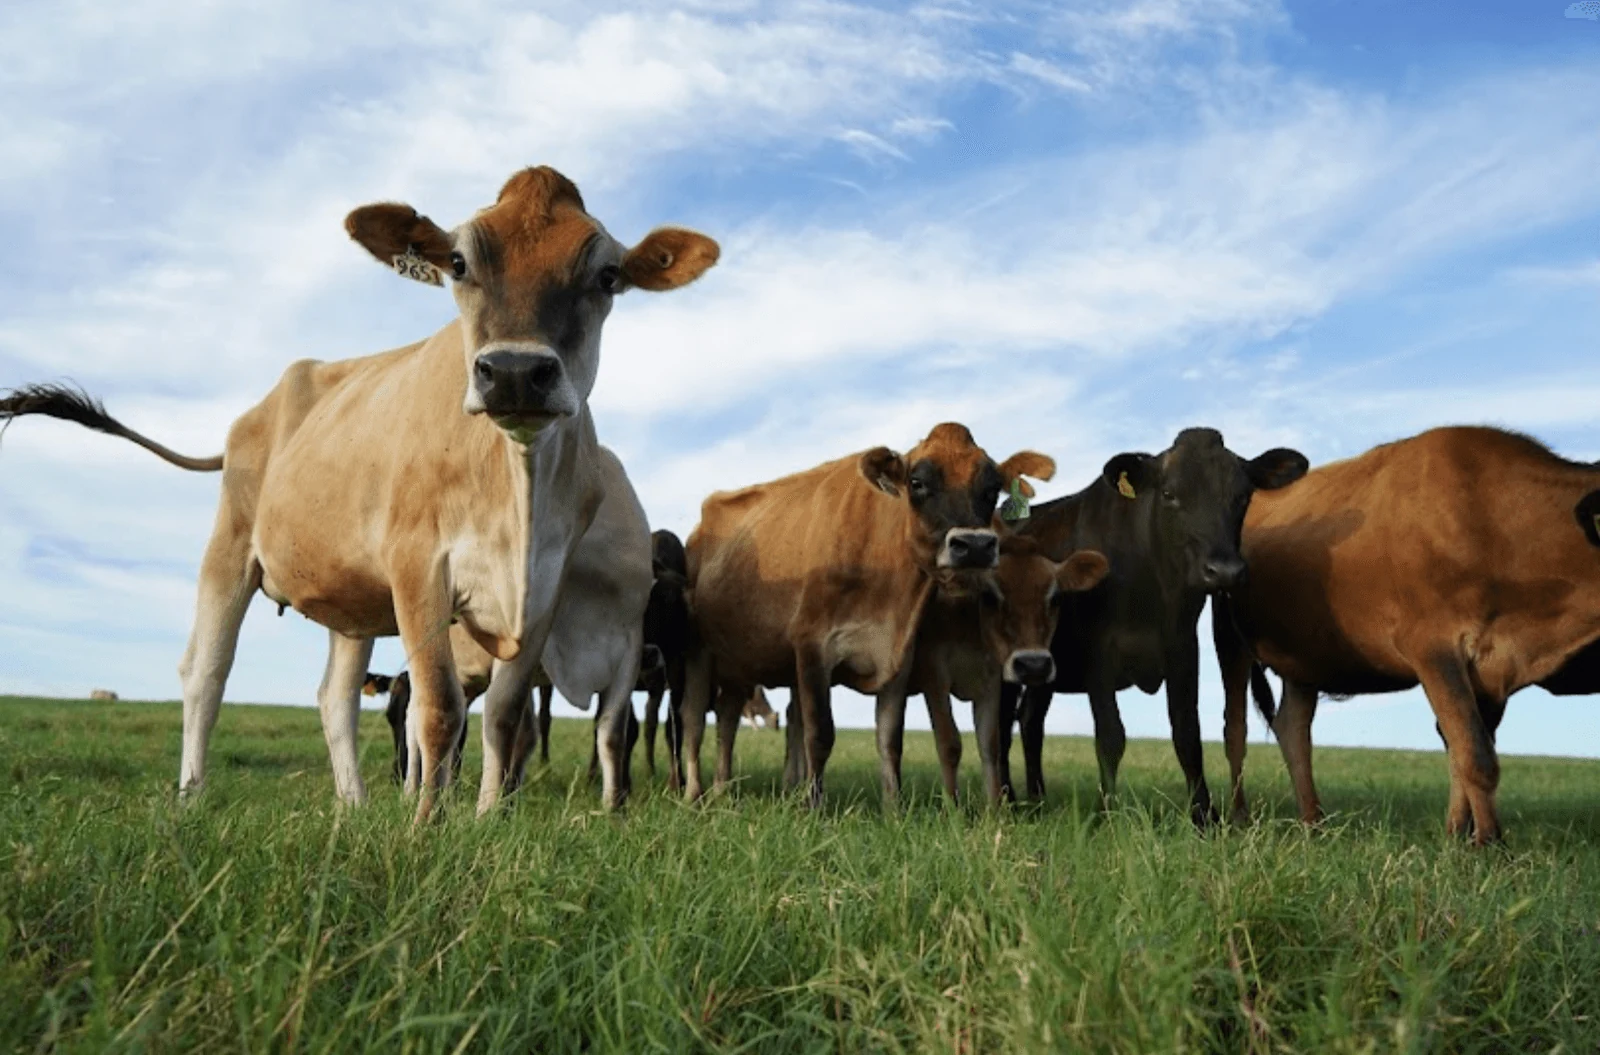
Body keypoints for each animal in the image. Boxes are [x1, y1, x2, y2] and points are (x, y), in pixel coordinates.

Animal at [0, 166, 718, 820]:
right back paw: (192, 796)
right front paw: (427, 826)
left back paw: (353, 804)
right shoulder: (417, 567)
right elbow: (439, 709)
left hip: (352, 599)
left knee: (335, 696)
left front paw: (489, 819)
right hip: (230, 545)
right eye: (459, 262)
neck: (518, 500)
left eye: (608, 275)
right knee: (205, 672)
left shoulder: (547, 585)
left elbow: (505, 715)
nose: (515, 372)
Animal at [682, 422, 1057, 808]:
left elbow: (890, 740)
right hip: (698, 651)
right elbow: (820, 734)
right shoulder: (812, 646)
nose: (976, 546)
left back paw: (722, 790)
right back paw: (694, 794)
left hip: (737, 661)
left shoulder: (898, 658)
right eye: (917, 482)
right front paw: (814, 808)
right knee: (693, 719)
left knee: (727, 716)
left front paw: (893, 809)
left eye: (993, 487)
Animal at [868, 536, 1110, 806]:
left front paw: (995, 809)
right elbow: (949, 743)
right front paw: (953, 807)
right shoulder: (935, 676)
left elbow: (990, 744)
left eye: (1055, 597)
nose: (1033, 664)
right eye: (991, 596)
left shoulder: (992, 680)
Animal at [1000, 428, 1308, 824]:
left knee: (1030, 719)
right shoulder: (1100, 653)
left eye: (1243, 496)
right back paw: (1009, 802)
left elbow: (1188, 734)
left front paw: (1204, 817)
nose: (1224, 570)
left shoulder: (1182, 648)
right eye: (1169, 494)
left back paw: (1038, 801)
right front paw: (1105, 815)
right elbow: (1110, 736)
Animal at [1212, 426, 1600, 845]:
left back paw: (1314, 823)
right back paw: (1240, 818)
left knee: (1293, 729)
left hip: (1305, 656)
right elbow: (1476, 755)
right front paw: (1489, 844)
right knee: (1236, 729)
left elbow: (1462, 746)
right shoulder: (1433, 648)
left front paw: (1458, 836)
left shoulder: (1494, 667)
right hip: (1230, 640)